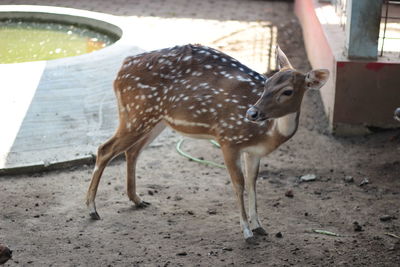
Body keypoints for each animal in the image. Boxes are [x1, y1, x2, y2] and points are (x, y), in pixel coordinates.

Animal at [86, 44, 328, 243]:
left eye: (288, 91)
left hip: (155, 119)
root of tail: (122, 67)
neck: (268, 134)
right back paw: (92, 209)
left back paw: (137, 199)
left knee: (132, 150)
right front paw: (247, 232)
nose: (252, 113)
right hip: (136, 112)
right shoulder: (228, 138)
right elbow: (239, 184)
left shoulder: (253, 152)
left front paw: (260, 226)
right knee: (105, 149)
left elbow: (252, 183)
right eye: (267, 83)